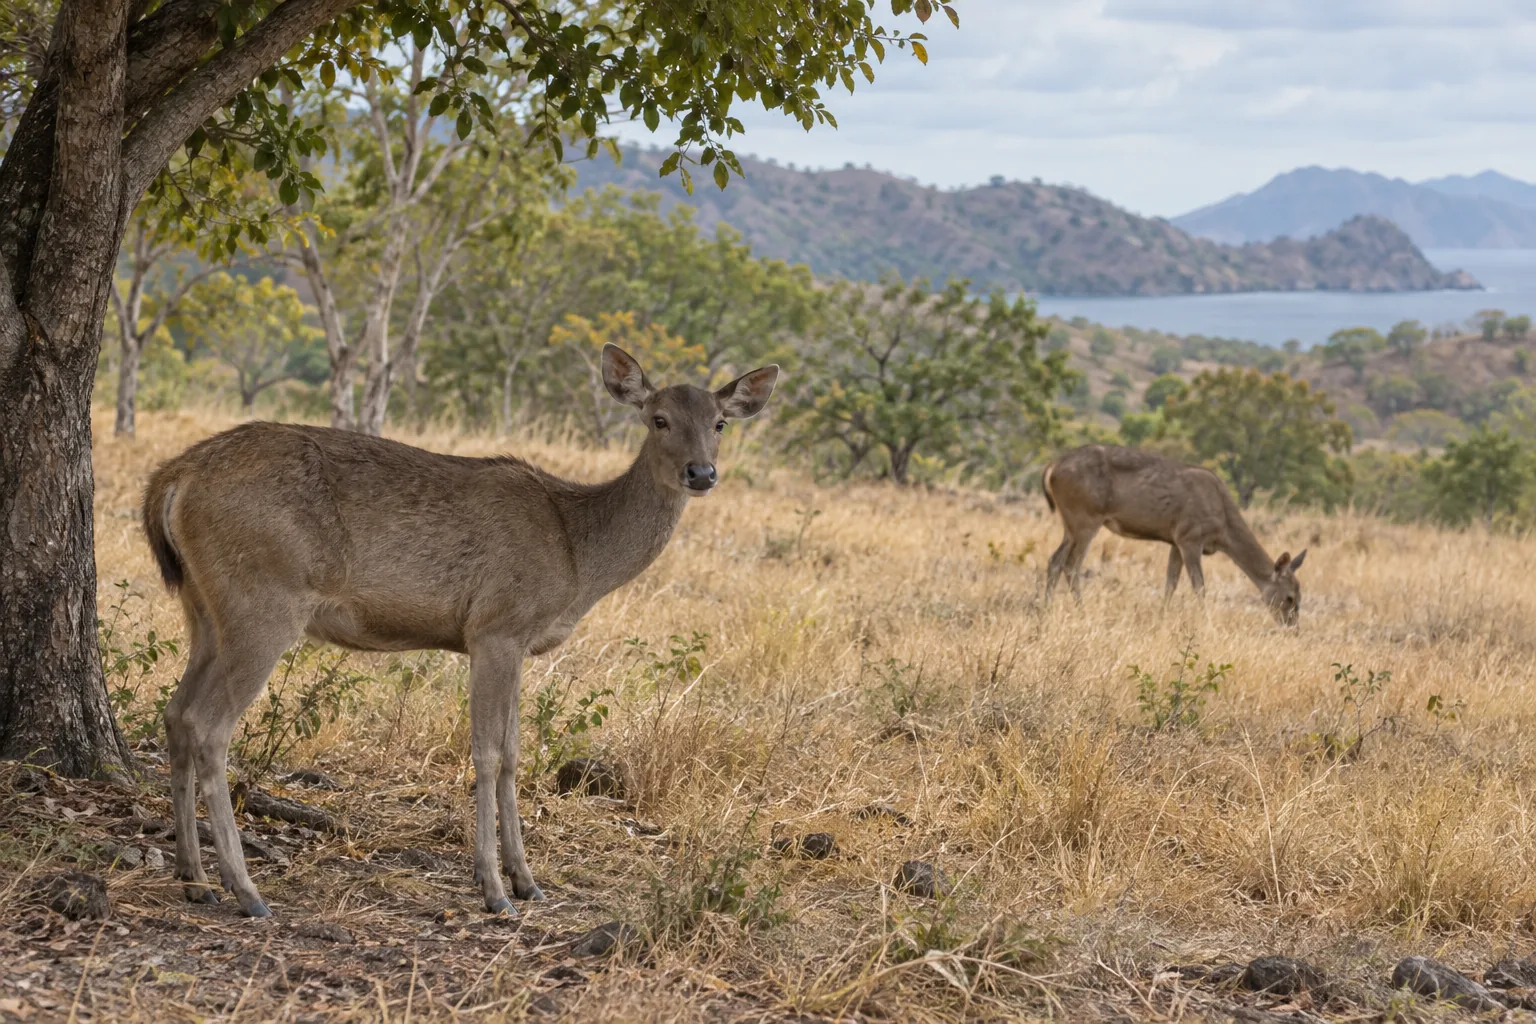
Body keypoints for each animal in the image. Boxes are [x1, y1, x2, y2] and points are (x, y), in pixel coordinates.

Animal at [140, 344, 779, 918]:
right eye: (658, 418)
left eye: (719, 422)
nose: (701, 472)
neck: (576, 556)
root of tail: (173, 478)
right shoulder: (496, 626)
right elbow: (489, 753)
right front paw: (494, 890)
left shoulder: (517, 642)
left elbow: (517, 752)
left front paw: (527, 880)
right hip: (263, 602)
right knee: (209, 724)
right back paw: (245, 891)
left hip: (203, 607)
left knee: (175, 711)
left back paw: (194, 878)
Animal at [1041, 445, 1306, 625]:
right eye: (1290, 597)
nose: (1292, 627)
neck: (1222, 527)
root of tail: (1052, 467)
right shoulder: (1190, 537)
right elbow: (1199, 586)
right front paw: (1206, 622)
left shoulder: (1175, 541)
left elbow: (1171, 583)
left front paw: (1162, 618)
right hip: (1085, 516)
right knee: (1071, 565)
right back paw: (1082, 613)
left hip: (1071, 523)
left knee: (1055, 560)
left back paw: (1043, 609)